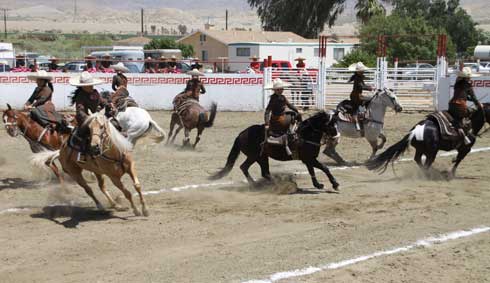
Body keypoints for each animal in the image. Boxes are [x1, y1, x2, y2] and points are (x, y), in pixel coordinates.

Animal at [211, 111, 340, 191]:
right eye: (330, 124)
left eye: (336, 122)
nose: (336, 135)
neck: (305, 134)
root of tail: (240, 135)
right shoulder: (310, 159)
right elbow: (324, 168)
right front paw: (335, 184)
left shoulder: (308, 159)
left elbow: (313, 171)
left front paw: (319, 185)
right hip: (258, 157)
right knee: (258, 171)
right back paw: (277, 184)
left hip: (258, 157)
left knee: (250, 169)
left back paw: (259, 184)